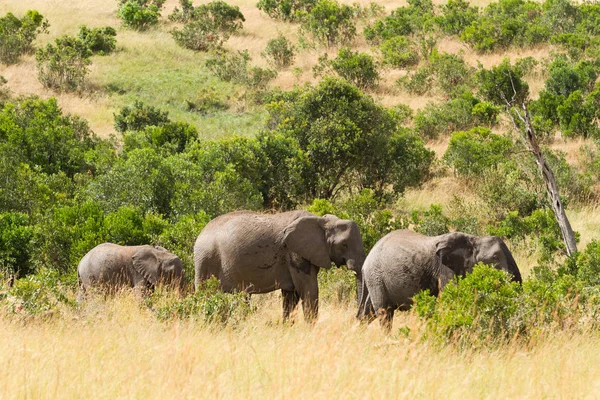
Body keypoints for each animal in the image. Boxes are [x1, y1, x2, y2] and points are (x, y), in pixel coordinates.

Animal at [196, 209, 366, 322]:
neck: (321, 221)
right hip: (205, 260)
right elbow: (308, 290)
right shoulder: (294, 252)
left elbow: (291, 296)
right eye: (344, 244)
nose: (356, 318)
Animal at [358, 230, 524, 330]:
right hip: (376, 278)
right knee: (384, 313)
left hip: (375, 280)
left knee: (367, 312)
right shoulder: (445, 270)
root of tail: (366, 262)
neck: (474, 239)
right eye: (495, 258)